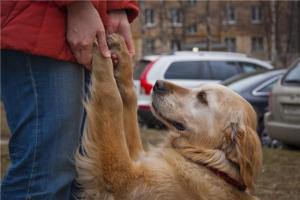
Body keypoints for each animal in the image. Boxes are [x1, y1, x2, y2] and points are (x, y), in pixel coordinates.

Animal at [75, 34, 262, 200]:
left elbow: (112, 99)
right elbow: (128, 100)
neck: (206, 162)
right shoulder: (139, 159)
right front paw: (122, 54)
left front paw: (98, 41)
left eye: (202, 97)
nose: (158, 84)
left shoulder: (125, 179)